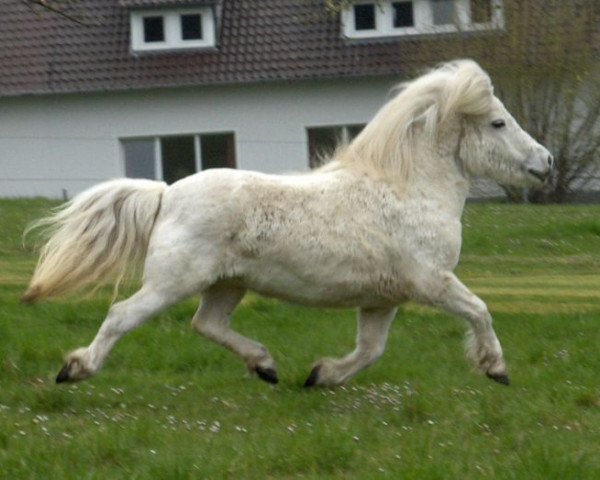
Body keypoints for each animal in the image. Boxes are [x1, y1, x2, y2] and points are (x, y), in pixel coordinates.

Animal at [23, 61, 552, 390]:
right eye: (498, 123)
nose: (545, 162)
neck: (407, 188)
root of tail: (167, 193)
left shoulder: (382, 300)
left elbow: (370, 350)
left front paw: (322, 376)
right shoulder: (432, 282)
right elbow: (479, 310)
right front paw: (496, 368)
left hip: (227, 284)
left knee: (206, 323)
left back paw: (266, 366)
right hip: (173, 281)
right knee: (122, 316)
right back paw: (76, 369)